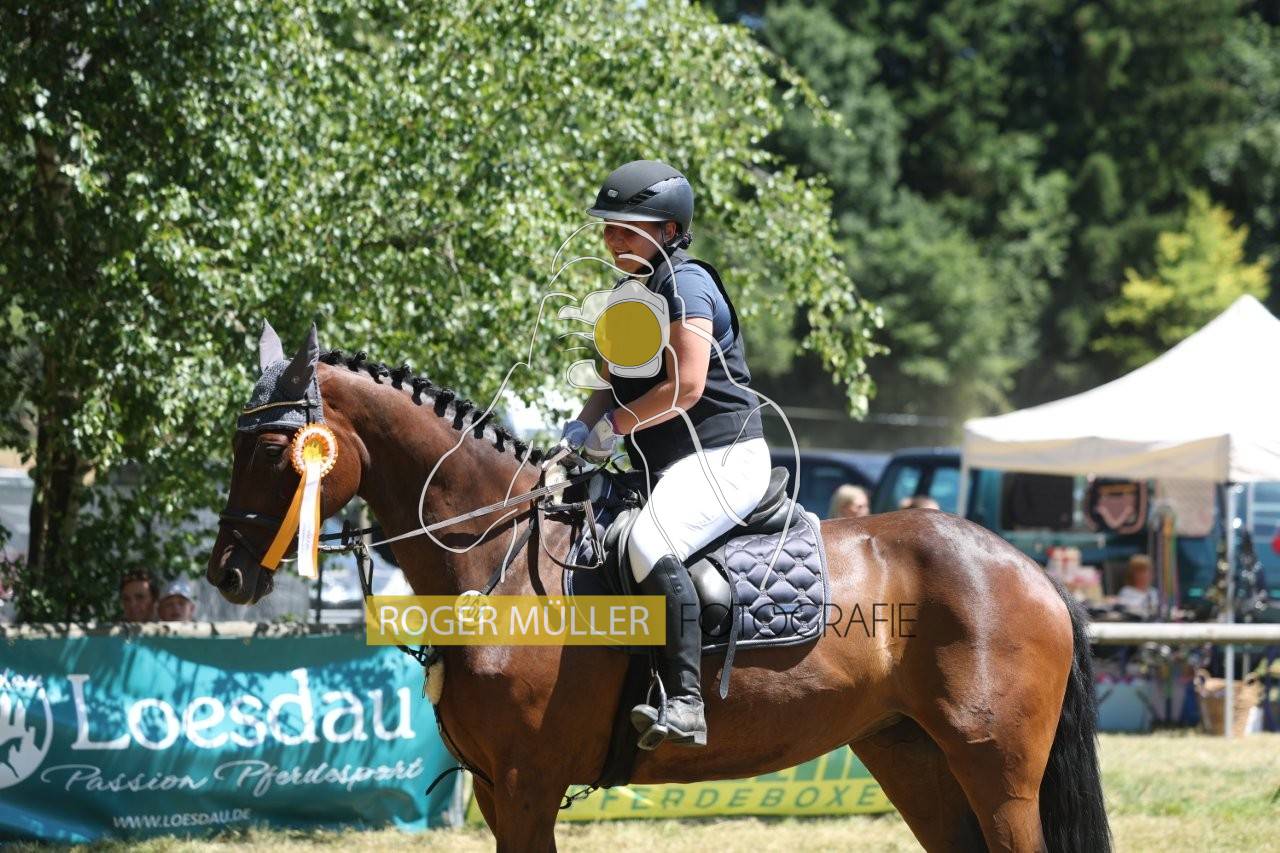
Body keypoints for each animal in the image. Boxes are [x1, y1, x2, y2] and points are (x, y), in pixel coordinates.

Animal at [207, 327, 1110, 852]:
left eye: (279, 448)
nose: (228, 573)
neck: (496, 558)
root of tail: (1029, 568)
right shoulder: (499, 790)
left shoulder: (528, 784)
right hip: (912, 755)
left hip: (996, 770)